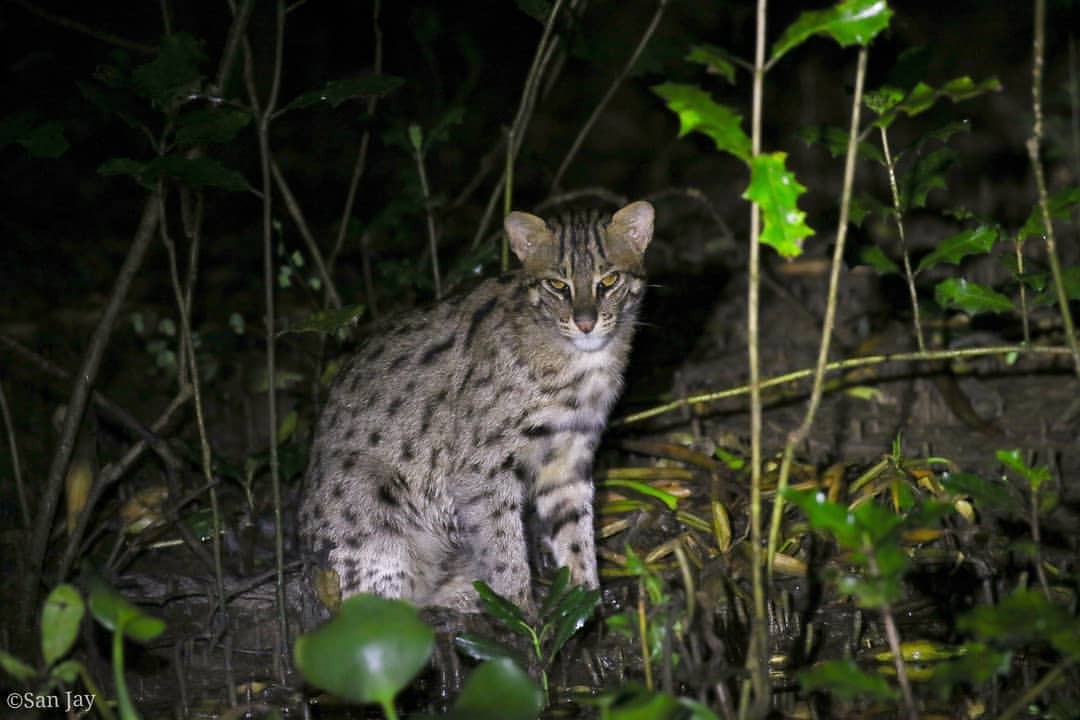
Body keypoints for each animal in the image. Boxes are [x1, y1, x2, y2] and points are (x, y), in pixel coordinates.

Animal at [295, 199, 652, 613]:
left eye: (608, 281)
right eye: (557, 285)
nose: (585, 323)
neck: (585, 363)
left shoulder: (569, 457)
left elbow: (577, 537)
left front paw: (584, 602)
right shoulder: (479, 469)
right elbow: (503, 549)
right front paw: (521, 614)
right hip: (373, 509)